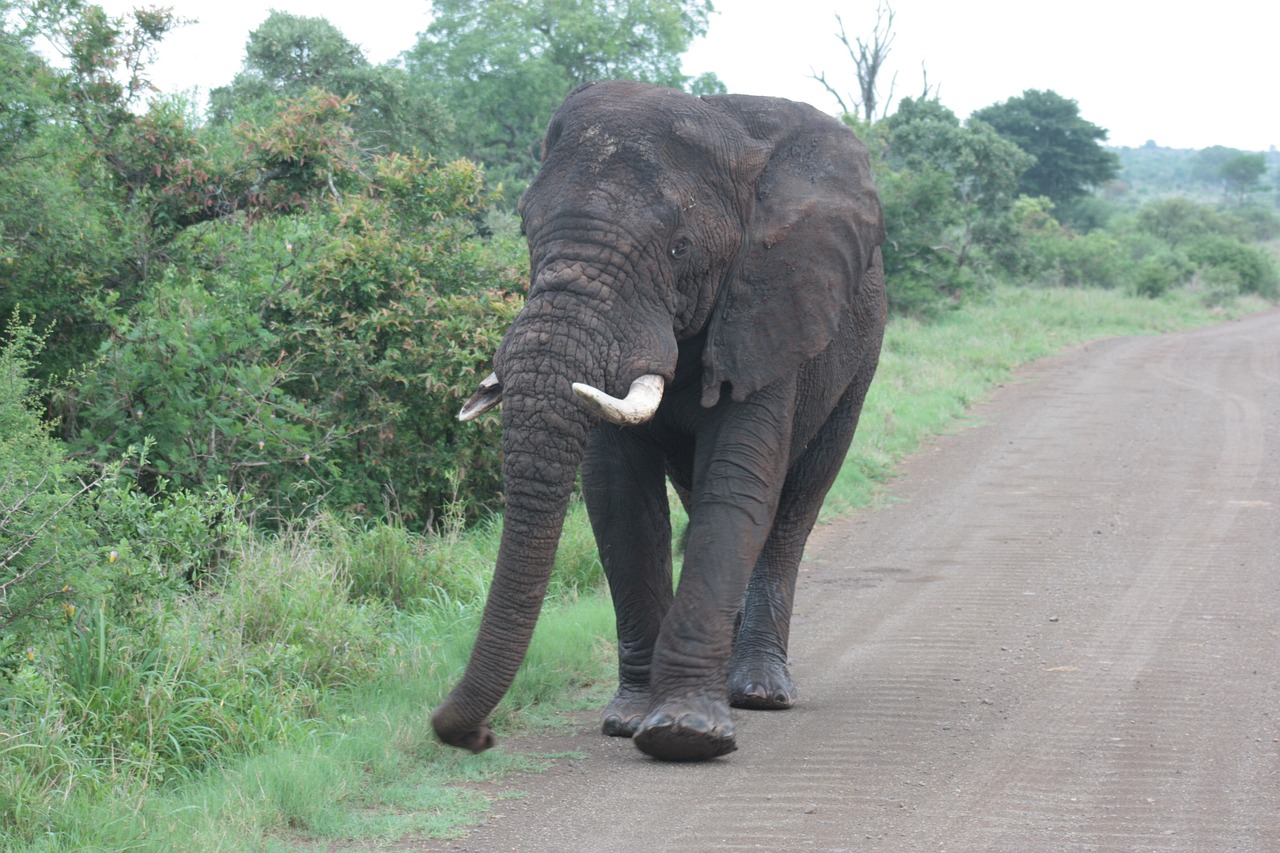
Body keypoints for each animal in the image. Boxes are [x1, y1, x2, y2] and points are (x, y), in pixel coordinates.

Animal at [435, 79, 885, 758]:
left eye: (680, 248)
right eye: (525, 228)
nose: (477, 736)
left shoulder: (767, 306)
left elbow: (737, 484)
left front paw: (684, 733)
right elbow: (619, 497)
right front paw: (629, 720)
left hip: (856, 357)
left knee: (796, 503)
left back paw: (757, 691)